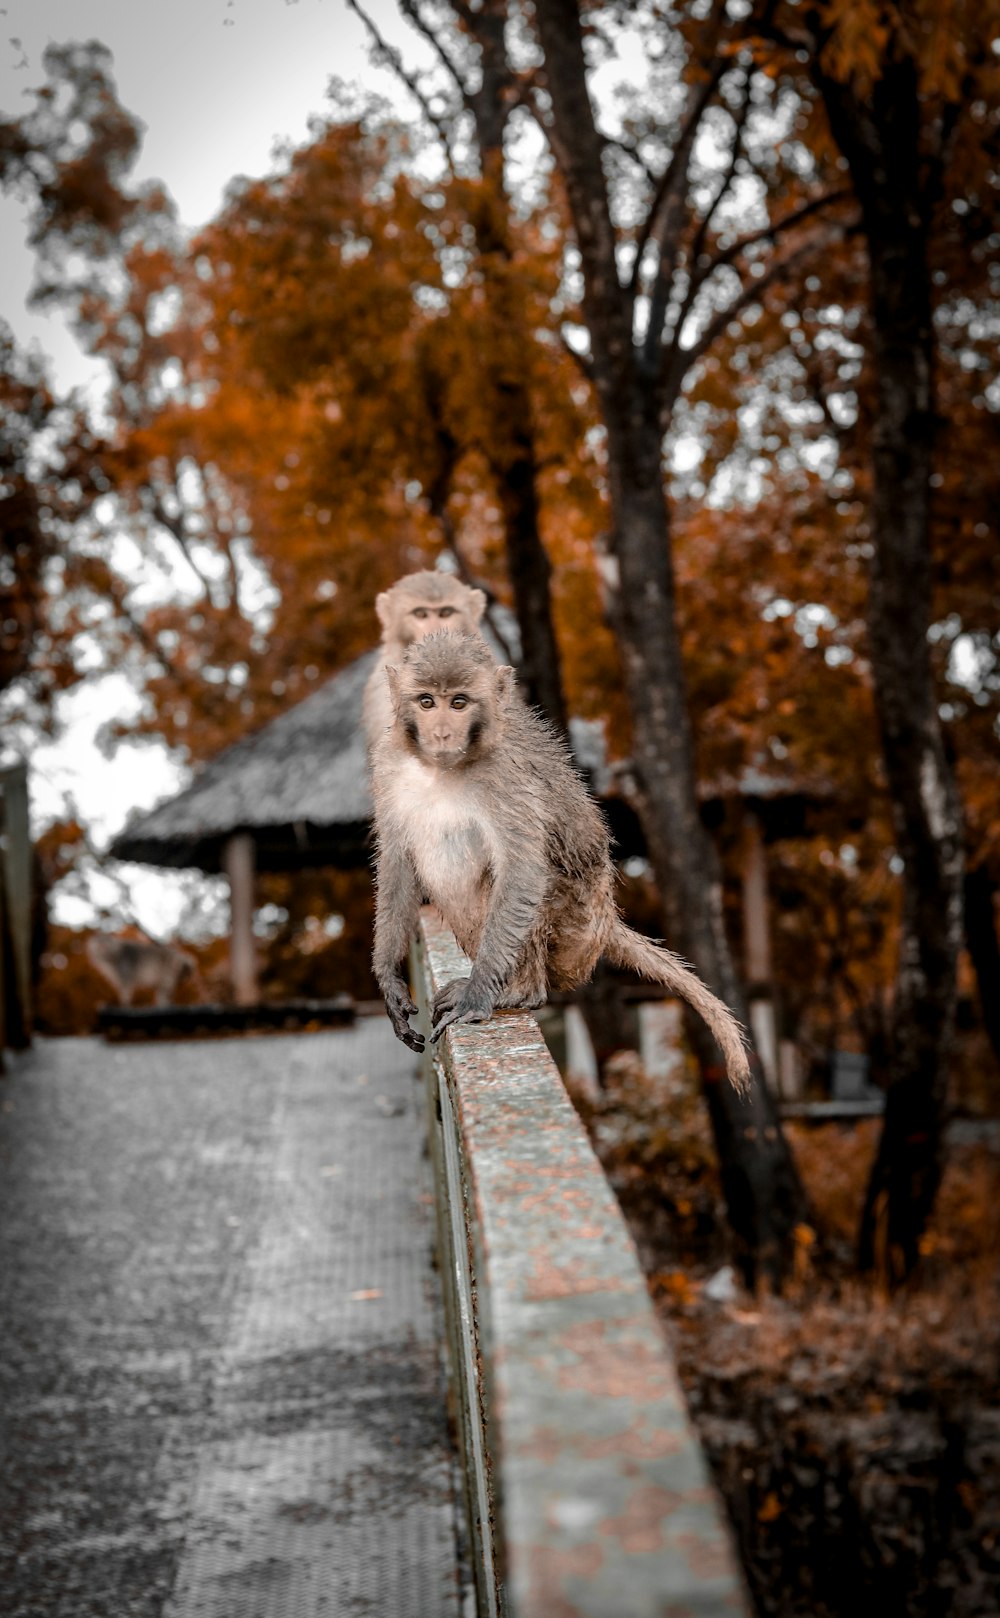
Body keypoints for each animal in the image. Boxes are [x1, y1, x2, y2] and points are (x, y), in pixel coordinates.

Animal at [367, 637, 747, 1093]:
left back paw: (521, 990)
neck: (442, 769)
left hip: (577, 932)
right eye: (427, 701)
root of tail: (606, 920)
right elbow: (397, 864)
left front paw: (478, 995)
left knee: (519, 882)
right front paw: (390, 980)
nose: (441, 732)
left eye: (458, 703)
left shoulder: (506, 778)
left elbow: (523, 872)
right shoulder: (388, 768)